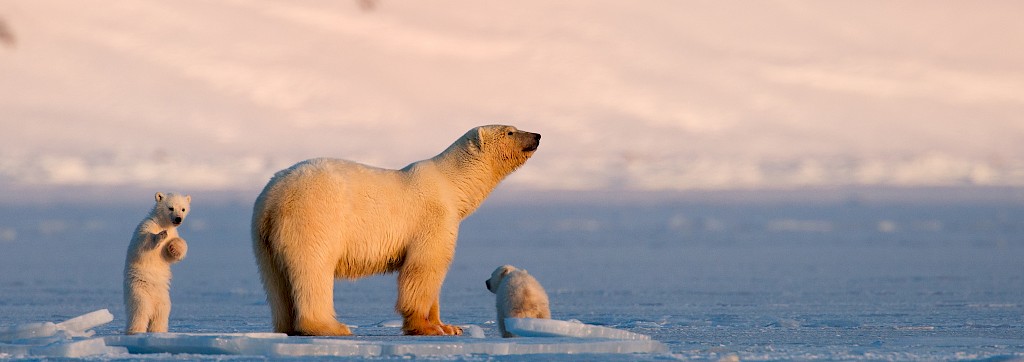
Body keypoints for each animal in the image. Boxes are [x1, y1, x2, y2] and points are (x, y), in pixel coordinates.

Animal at [251, 125, 540, 337]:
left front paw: (449, 326)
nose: (537, 135)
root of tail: (273, 198)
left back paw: (287, 326)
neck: (451, 184)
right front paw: (427, 328)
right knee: (313, 269)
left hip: (263, 237)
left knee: (275, 281)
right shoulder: (432, 218)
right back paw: (330, 327)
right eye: (510, 131)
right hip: (315, 218)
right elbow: (424, 268)